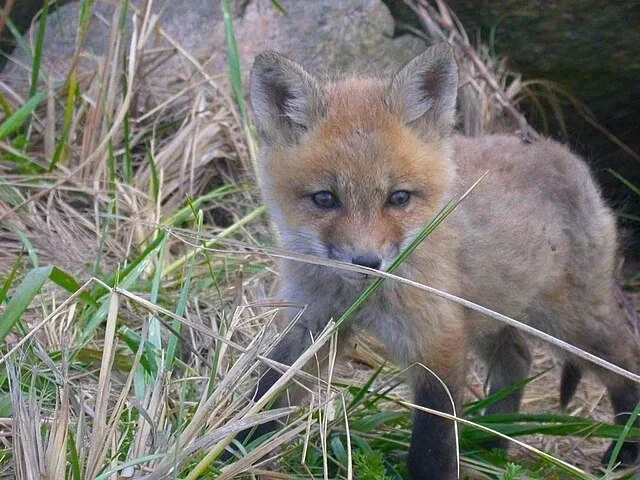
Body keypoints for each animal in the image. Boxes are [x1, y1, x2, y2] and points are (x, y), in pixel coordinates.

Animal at [234, 43, 640, 479]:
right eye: (325, 198)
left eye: (398, 198)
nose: (366, 262)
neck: (363, 299)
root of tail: (562, 153)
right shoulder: (310, 322)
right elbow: (264, 397)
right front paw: (230, 453)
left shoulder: (438, 338)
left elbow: (434, 439)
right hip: (491, 313)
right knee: (517, 358)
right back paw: (493, 444)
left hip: (571, 324)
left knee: (625, 363)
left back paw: (626, 447)